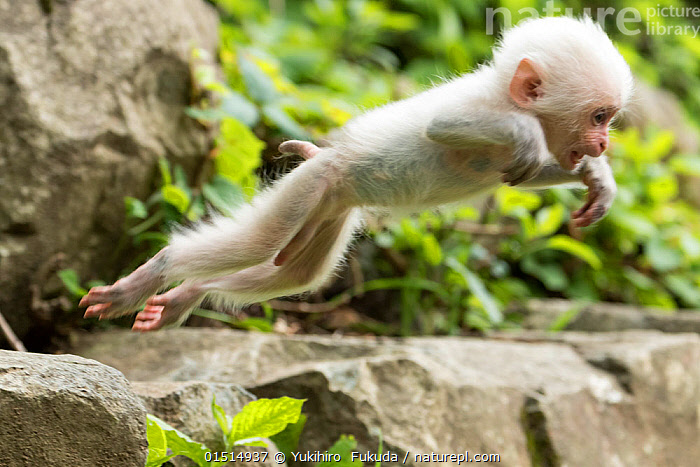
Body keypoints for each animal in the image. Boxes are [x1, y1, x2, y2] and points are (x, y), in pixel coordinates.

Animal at [82, 16, 636, 330]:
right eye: (599, 116)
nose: (604, 143)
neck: (509, 99)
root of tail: (325, 161)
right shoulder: (481, 106)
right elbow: (444, 125)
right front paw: (535, 140)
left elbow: (533, 169)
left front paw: (596, 179)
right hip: (314, 184)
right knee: (261, 244)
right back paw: (154, 275)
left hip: (330, 209)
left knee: (296, 271)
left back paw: (187, 296)